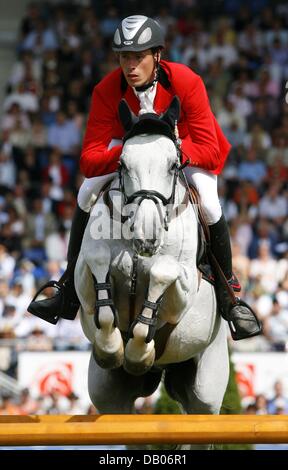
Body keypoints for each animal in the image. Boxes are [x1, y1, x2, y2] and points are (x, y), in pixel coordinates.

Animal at [75, 98, 230, 448]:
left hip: (205, 392)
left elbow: (161, 272)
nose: (147, 236)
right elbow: (99, 265)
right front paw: (115, 348)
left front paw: (137, 351)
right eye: (122, 163)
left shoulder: (185, 287)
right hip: (107, 392)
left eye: (173, 165)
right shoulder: (83, 278)